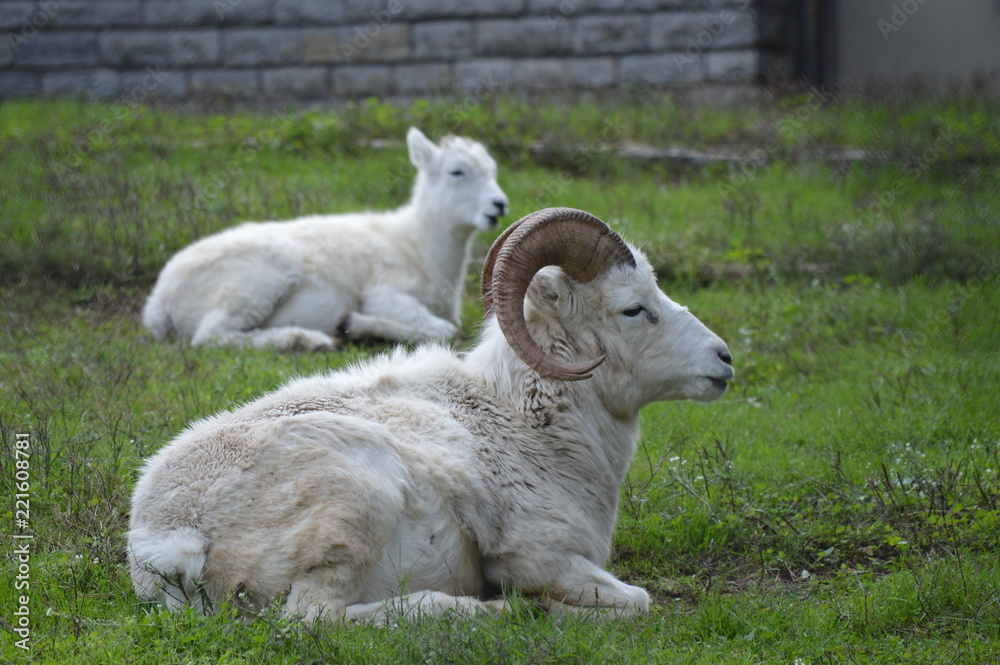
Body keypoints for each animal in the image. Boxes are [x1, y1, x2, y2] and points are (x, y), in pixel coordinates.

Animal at [128, 207, 736, 622]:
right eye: (633, 309)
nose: (724, 359)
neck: (525, 423)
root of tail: (169, 540)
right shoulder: (541, 556)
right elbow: (639, 599)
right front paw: (539, 605)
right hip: (358, 504)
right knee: (314, 620)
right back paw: (483, 611)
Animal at [141, 127, 509, 350]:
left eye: (494, 169)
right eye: (456, 172)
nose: (499, 204)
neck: (417, 246)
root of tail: (158, 305)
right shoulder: (384, 291)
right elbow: (444, 330)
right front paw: (353, 324)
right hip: (257, 278)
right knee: (211, 335)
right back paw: (304, 339)